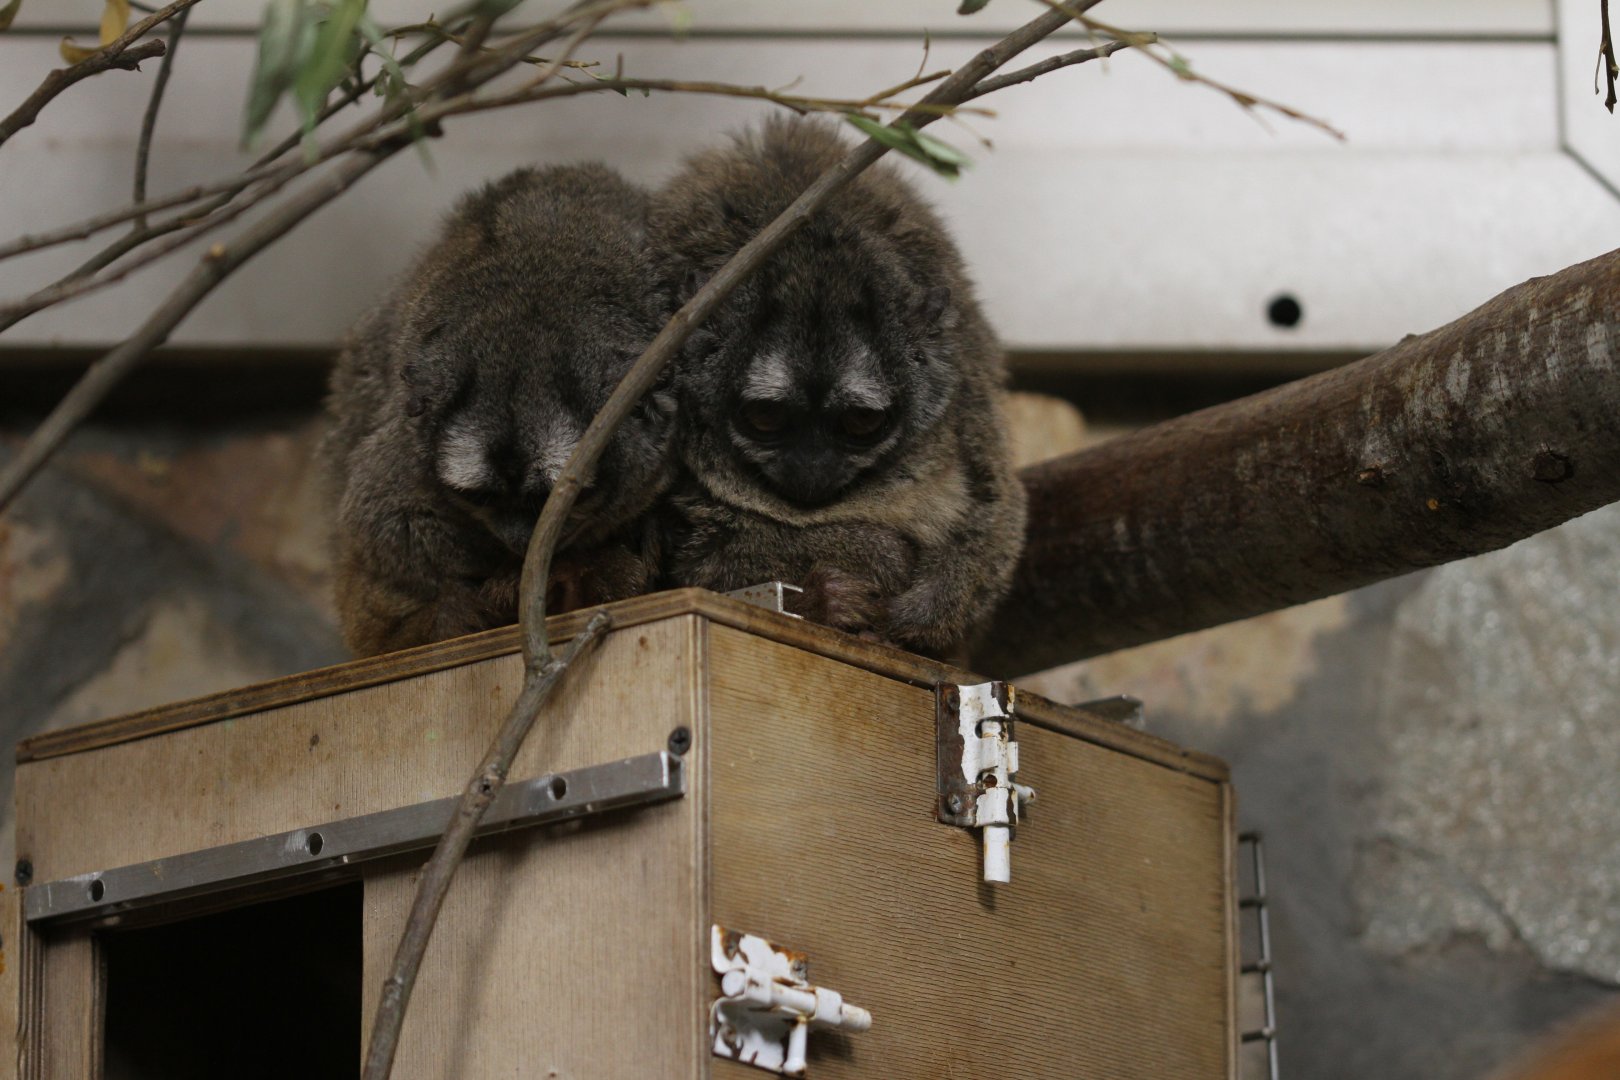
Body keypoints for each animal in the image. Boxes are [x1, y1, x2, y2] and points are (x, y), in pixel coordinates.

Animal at [647, 117, 1028, 657]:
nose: (811, 470)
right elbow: (696, 550)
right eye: (766, 416)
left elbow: (996, 510)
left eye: (861, 420)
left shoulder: (969, 388)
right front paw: (841, 591)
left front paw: (905, 618)